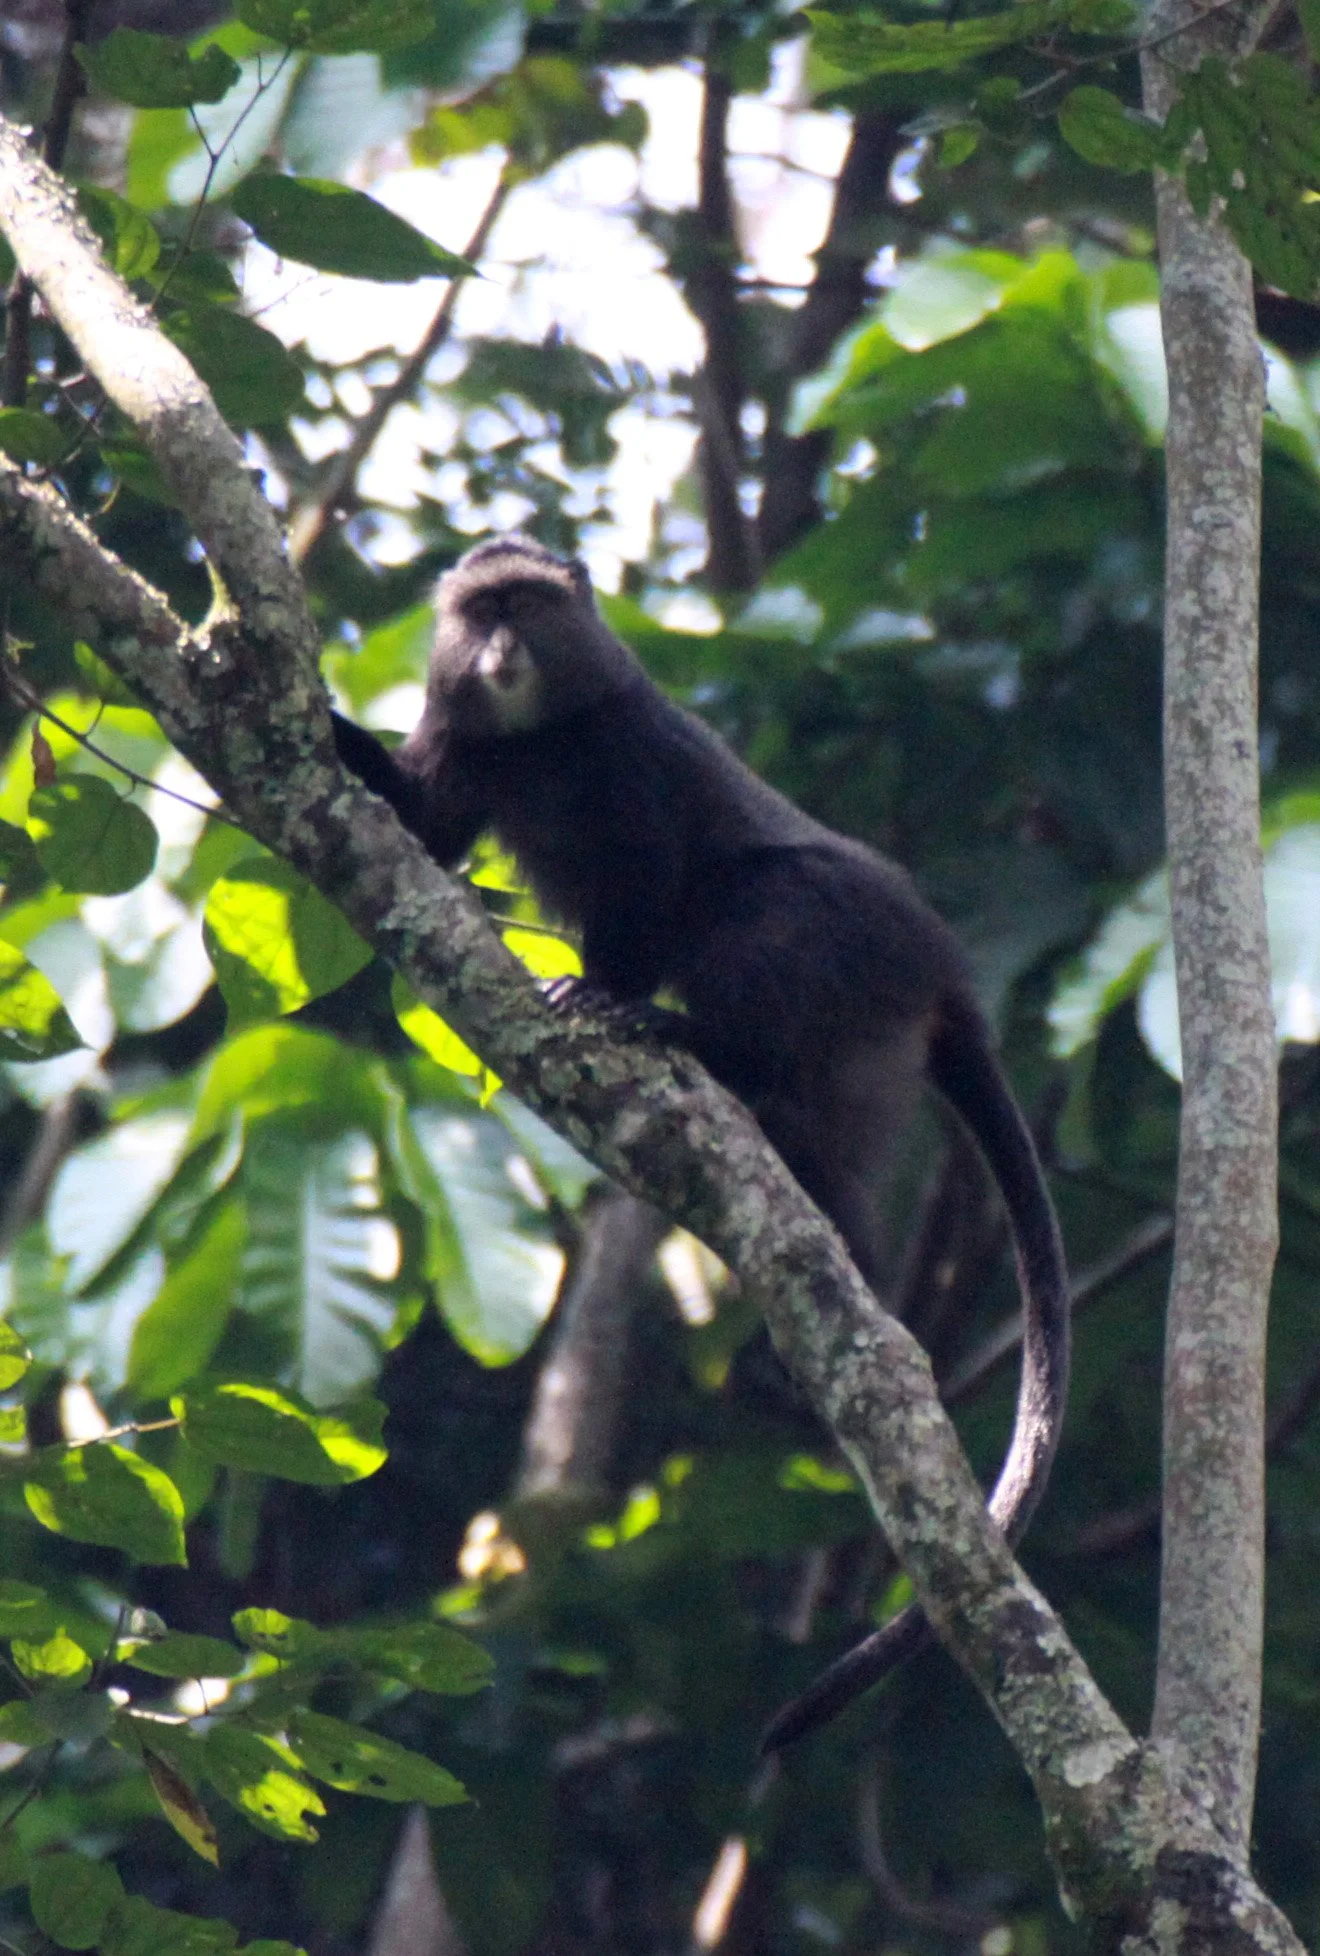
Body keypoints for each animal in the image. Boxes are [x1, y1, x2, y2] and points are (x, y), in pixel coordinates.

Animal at [330, 534, 1069, 1749]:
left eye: (528, 605)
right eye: (480, 610)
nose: (502, 650)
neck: (547, 730)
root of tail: (939, 969)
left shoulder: (630, 758)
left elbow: (646, 884)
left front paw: (605, 995)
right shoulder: (465, 739)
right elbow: (422, 825)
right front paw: (323, 726)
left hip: (840, 951)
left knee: (751, 913)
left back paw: (705, 1053)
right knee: (817, 1158)